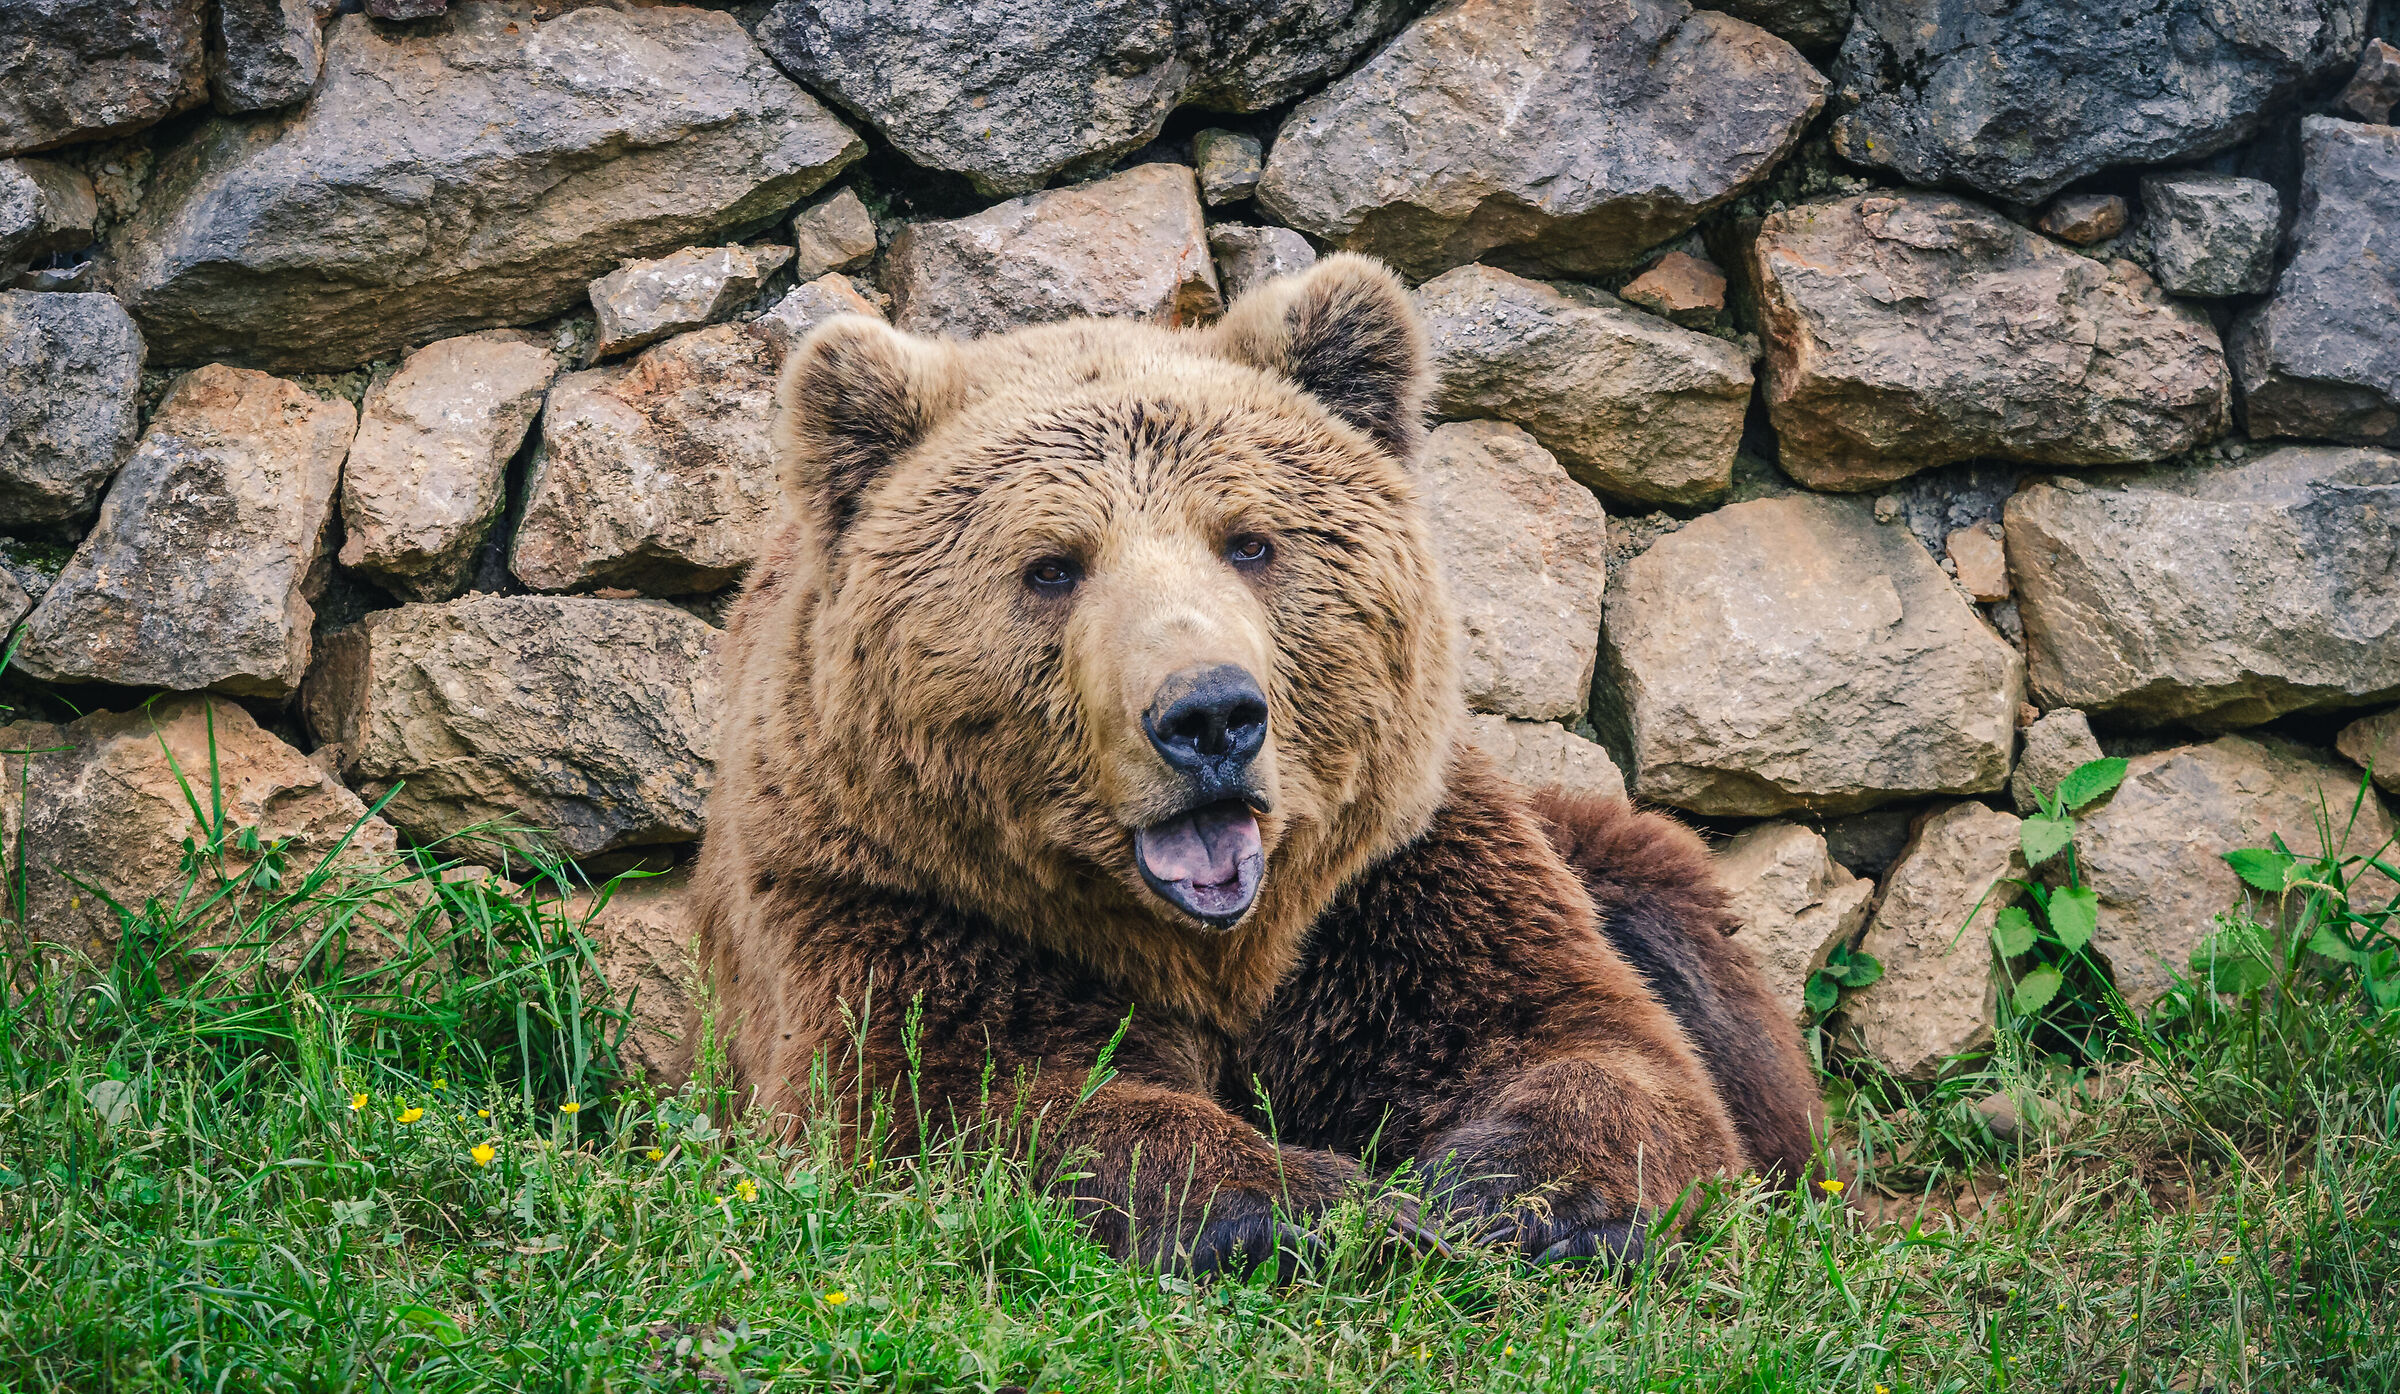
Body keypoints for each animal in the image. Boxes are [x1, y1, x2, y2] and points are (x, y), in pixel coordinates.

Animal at [695, 255, 1819, 1272]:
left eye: (1250, 541)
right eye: (1051, 566)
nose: (1210, 716)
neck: (1213, 950)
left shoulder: (1388, 889)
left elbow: (1589, 1043)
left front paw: (1486, 1197)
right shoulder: (899, 896)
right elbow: (960, 1097)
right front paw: (1320, 1197)